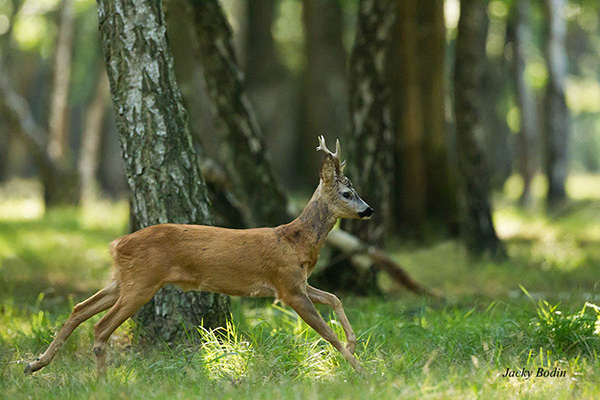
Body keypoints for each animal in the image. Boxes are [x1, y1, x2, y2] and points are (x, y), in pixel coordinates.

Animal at [27, 137, 376, 376]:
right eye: (347, 193)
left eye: (356, 191)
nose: (369, 210)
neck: (297, 241)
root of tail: (116, 244)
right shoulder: (287, 287)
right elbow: (327, 333)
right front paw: (361, 369)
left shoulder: (298, 283)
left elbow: (334, 298)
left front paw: (354, 344)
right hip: (142, 282)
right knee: (100, 326)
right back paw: (101, 381)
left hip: (123, 280)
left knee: (79, 309)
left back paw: (36, 364)